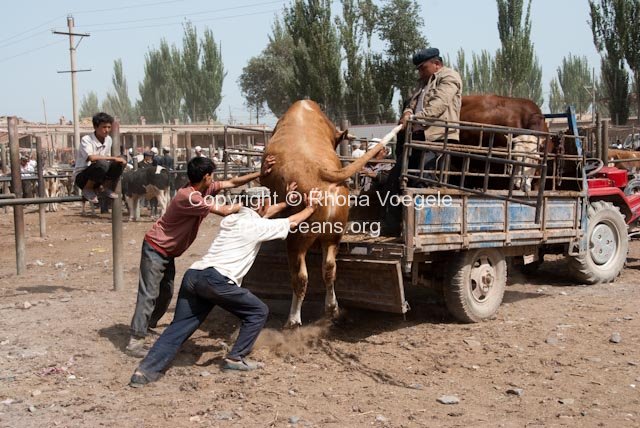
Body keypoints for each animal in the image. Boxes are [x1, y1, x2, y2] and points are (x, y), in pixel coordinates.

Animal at [260, 100, 396, 328]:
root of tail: (320, 171)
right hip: (333, 235)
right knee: (330, 267)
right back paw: (332, 308)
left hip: (297, 240)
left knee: (301, 277)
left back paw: (293, 319)